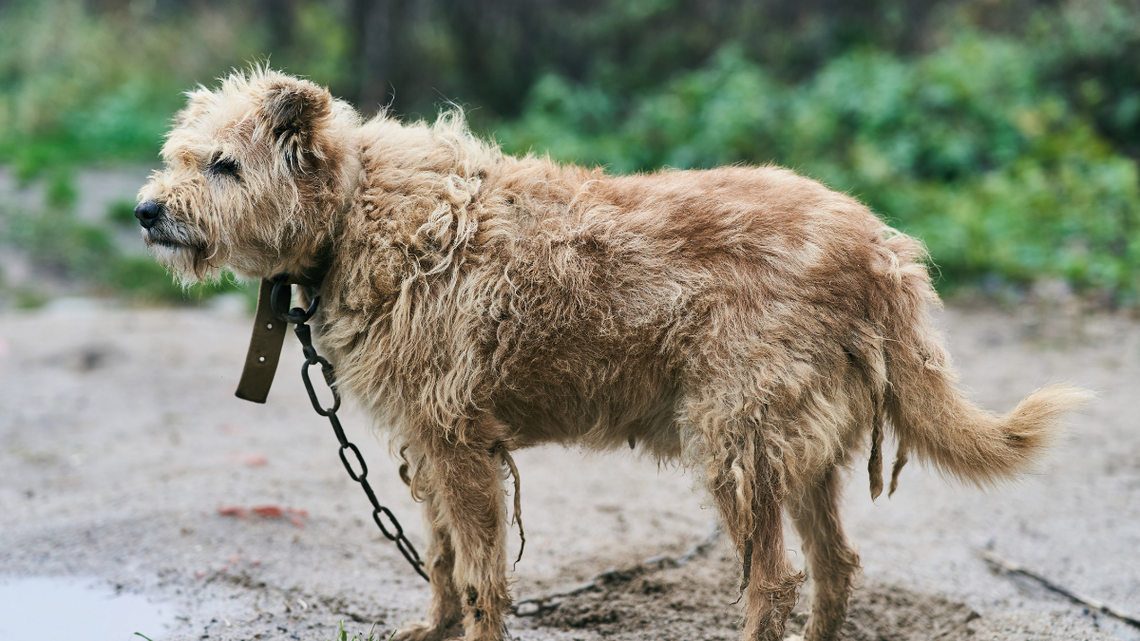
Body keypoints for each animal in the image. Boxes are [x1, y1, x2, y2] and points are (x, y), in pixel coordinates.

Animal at [133, 67, 1085, 634]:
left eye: (223, 165)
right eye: (178, 156)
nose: (145, 210)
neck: (363, 209)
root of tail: (878, 246)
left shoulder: (461, 448)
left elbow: (480, 574)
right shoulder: (427, 444)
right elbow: (440, 558)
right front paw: (431, 623)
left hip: (737, 443)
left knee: (774, 578)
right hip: (801, 451)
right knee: (837, 565)